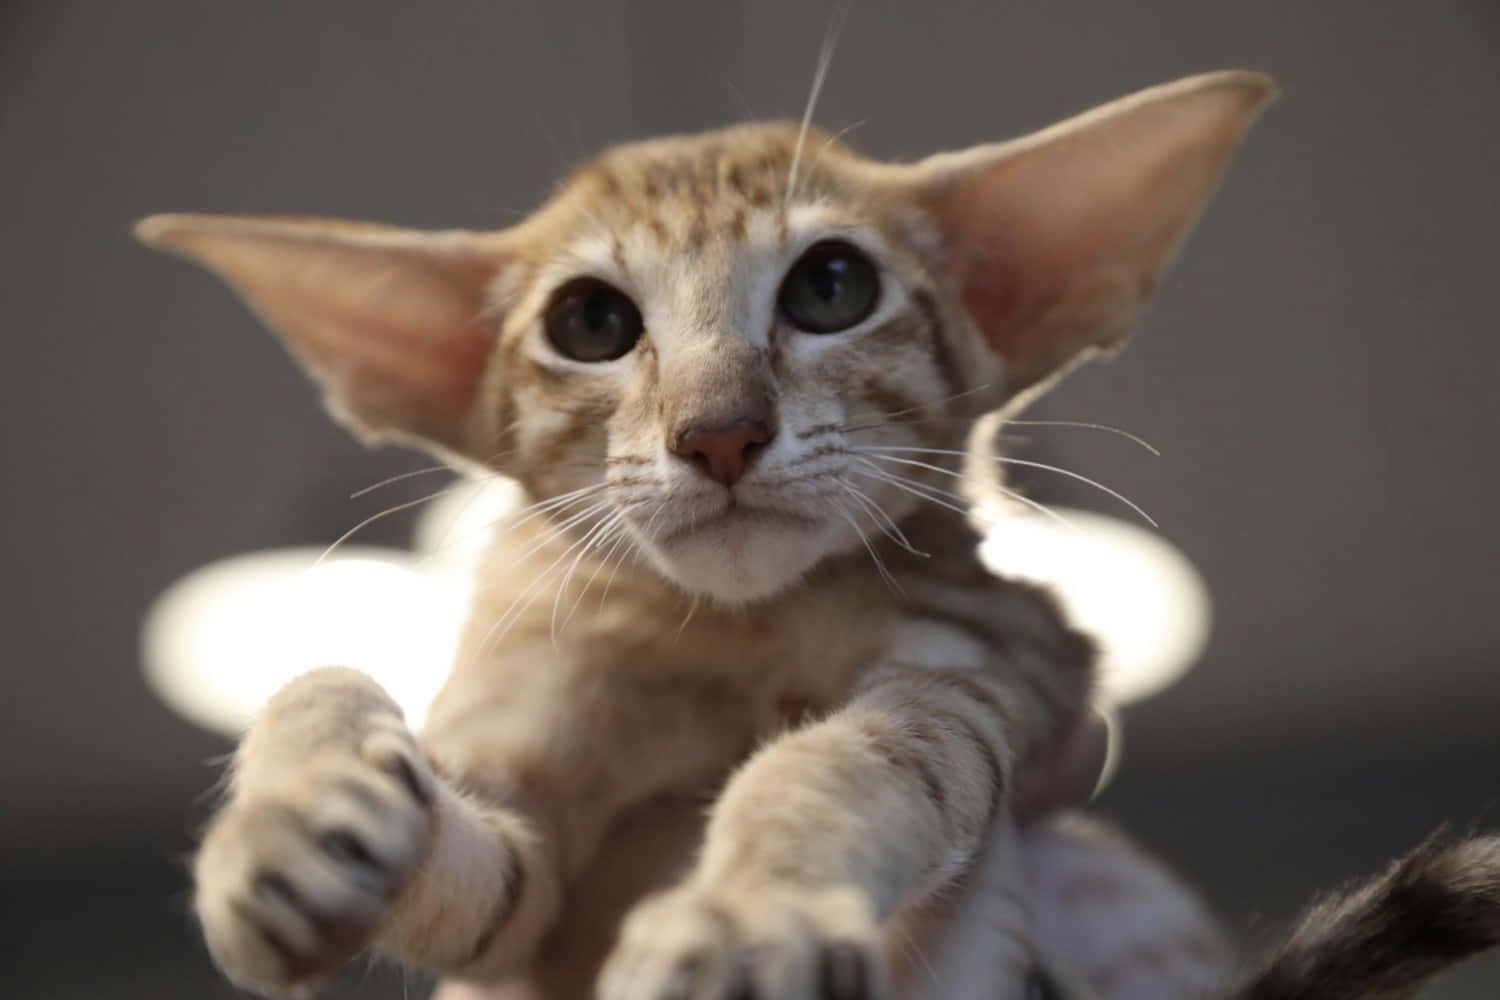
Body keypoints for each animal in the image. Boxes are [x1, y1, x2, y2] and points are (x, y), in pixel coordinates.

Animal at [135, 72, 1494, 1000]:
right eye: (590, 322)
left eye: (832, 288)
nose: (720, 431)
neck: (721, 635)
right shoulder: (523, 835)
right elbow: (336, 688)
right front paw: (287, 818)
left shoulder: (983, 670)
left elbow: (829, 767)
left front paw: (745, 911)